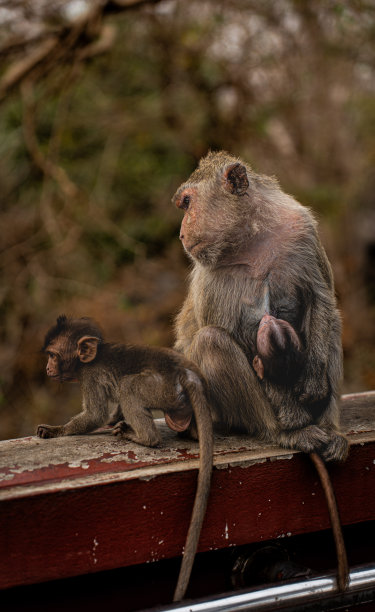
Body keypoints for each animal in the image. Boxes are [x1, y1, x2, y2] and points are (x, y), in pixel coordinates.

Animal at [39, 314, 214, 600]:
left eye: (53, 355)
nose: (47, 368)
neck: (92, 358)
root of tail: (187, 374)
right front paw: (113, 419)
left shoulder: (91, 376)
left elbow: (95, 414)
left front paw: (55, 431)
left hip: (161, 389)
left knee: (129, 386)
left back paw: (143, 438)